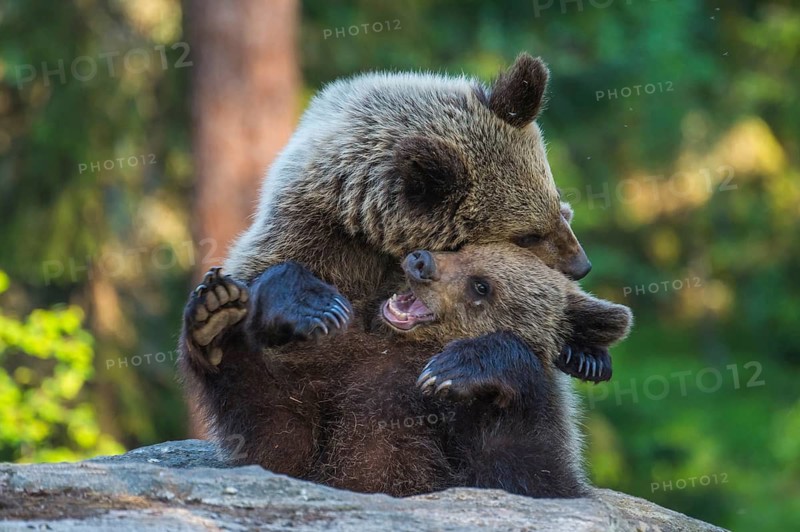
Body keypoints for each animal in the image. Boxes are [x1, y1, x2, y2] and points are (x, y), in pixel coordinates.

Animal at [178, 243, 632, 498]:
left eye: (481, 285)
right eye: (462, 247)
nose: (420, 262)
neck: (405, 349)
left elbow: (527, 471)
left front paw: (457, 367)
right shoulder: (337, 377)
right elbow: (278, 439)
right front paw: (220, 319)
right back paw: (217, 314)